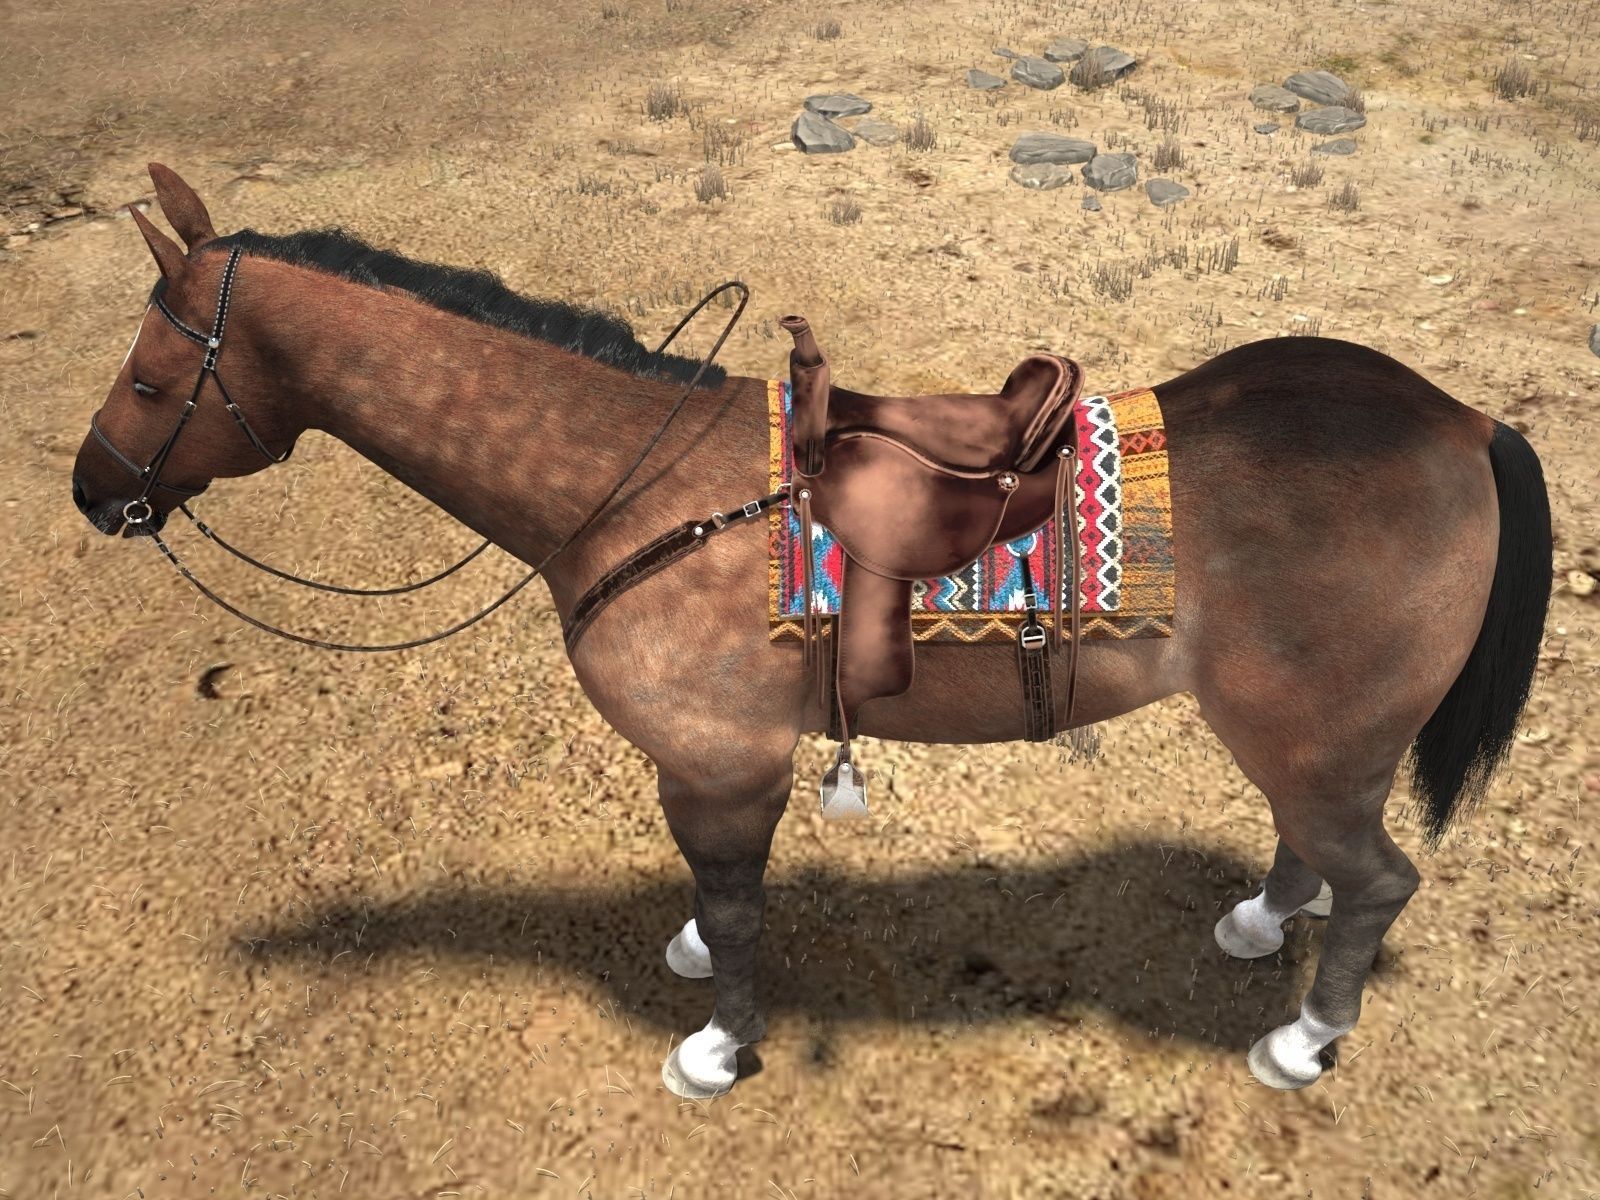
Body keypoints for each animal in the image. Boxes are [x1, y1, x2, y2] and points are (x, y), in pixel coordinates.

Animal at [71, 164, 1552, 1100]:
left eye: (150, 377)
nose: (95, 493)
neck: (634, 483)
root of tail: (1457, 422)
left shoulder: (725, 765)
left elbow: (734, 911)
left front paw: (715, 1050)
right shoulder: (710, 772)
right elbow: (714, 899)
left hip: (1318, 740)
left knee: (1378, 881)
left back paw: (1303, 1042)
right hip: (1322, 744)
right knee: (1320, 850)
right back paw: (1257, 927)